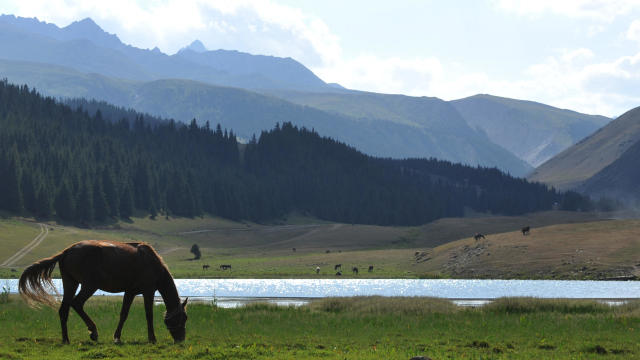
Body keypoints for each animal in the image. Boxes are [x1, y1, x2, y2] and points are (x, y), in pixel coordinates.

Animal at [18, 240, 188, 344]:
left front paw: (117, 337)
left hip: (70, 282)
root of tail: (67, 251)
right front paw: (152, 338)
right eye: (183, 318)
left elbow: (124, 314)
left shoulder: (130, 292)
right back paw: (93, 331)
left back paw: (66, 339)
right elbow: (149, 314)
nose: (181, 339)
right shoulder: (148, 290)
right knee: (76, 303)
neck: (153, 264)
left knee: (64, 309)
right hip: (89, 285)